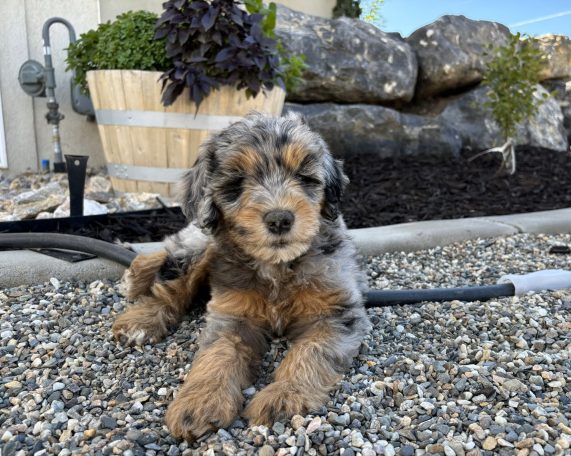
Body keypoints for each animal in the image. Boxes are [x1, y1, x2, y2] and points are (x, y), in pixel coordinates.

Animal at [112, 112, 371, 440]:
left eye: (305, 177)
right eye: (236, 182)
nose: (280, 219)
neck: (277, 266)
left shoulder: (336, 313)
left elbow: (310, 352)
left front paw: (283, 395)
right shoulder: (232, 314)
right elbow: (219, 354)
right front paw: (199, 401)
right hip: (201, 244)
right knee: (171, 278)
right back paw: (139, 311)